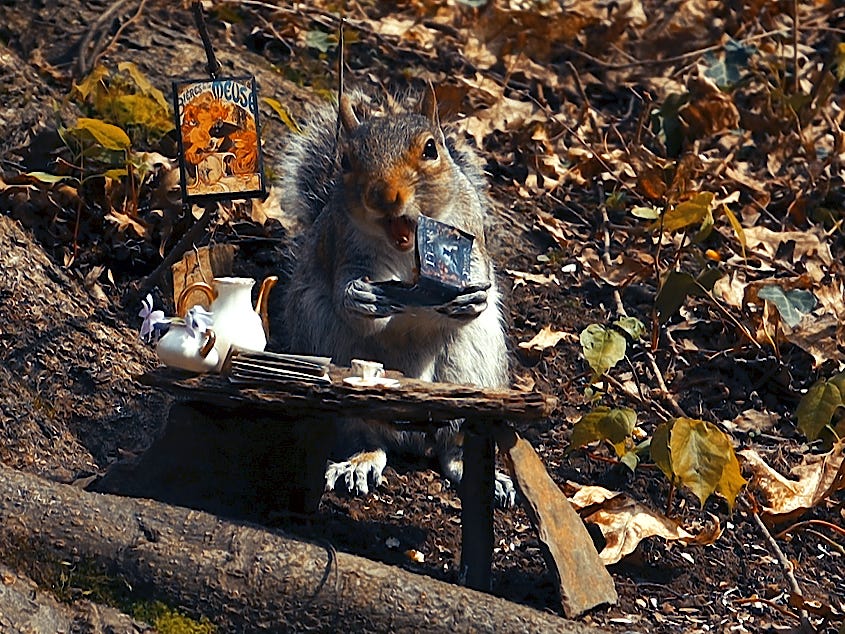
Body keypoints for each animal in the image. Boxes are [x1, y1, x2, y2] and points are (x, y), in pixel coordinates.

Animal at [280, 87, 512, 504]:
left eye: (431, 149)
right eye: (346, 160)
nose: (385, 196)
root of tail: (411, 435)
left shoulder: (472, 230)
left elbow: (480, 270)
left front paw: (472, 298)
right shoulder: (339, 244)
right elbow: (344, 291)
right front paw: (361, 297)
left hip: (473, 369)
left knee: (452, 440)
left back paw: (473, 468)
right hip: (331, 350)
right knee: (366, 434)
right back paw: (359, 461)